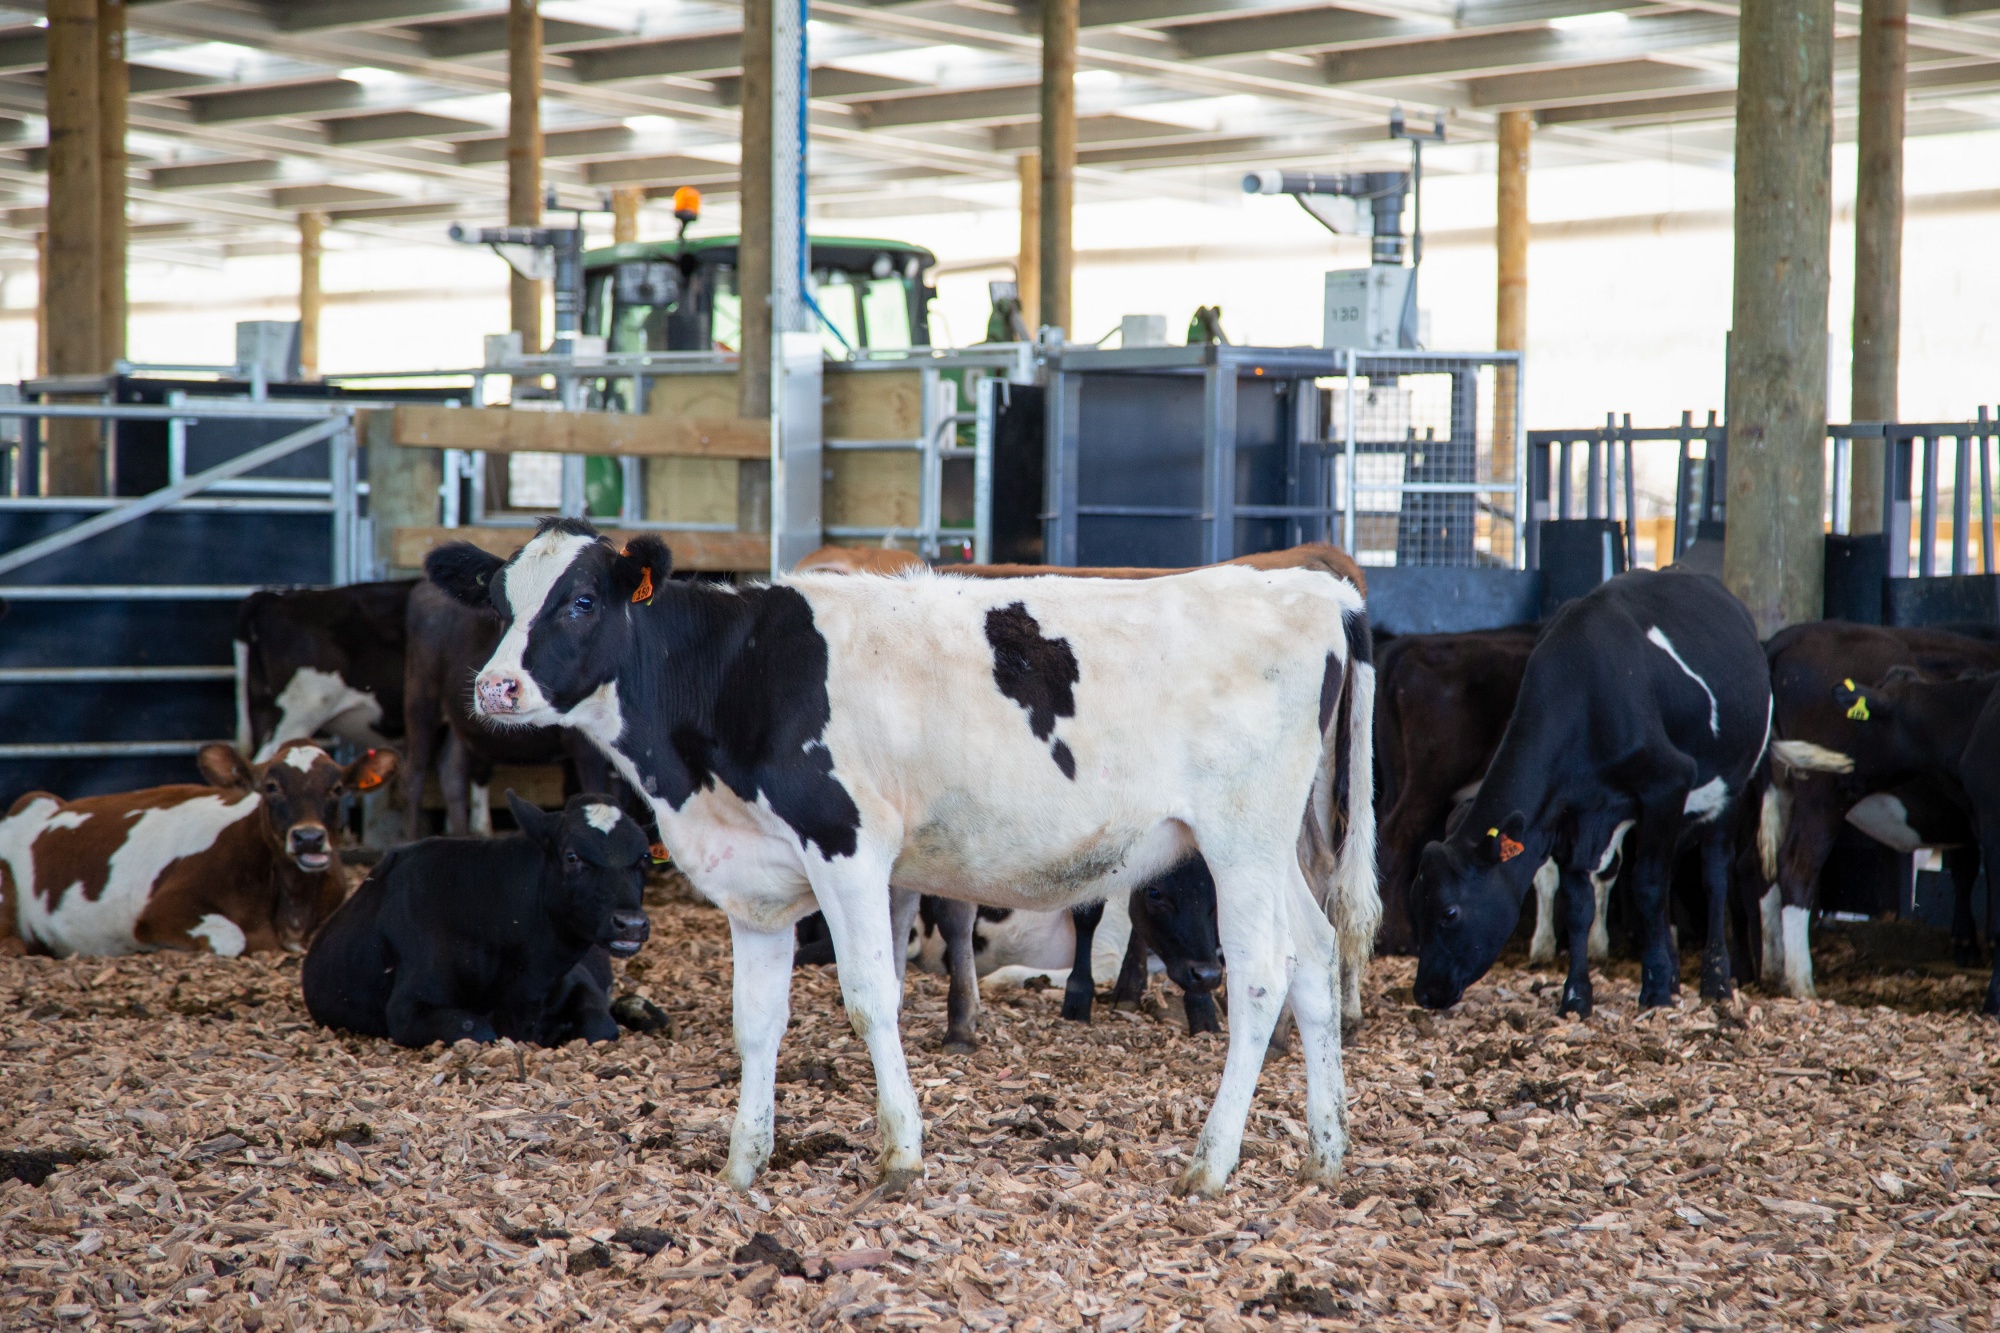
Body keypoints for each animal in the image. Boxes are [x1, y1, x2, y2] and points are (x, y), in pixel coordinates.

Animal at [302, 792, 653, 1046]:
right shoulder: (407, 1007)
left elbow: (600, 1025)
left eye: (645, 857)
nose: (631, 924)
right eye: (572, 856)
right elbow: (478, 1029)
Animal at [427, 518, 1376, 1197]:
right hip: (1274, 847)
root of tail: (1312, 588)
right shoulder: (754, 882)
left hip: (1239, 838)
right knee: (1316, 956)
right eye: (500, 602)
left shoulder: (847, 846)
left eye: (582, 601)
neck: (737, 674)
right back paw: (1325, 1152)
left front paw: (901, 1153)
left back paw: (1211, 1163)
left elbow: (868, 997)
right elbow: (755, 1021)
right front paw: (743, 1162)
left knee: (1262, 974)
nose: (496, 687)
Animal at [1412, 569, 1770, 1016]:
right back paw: (1676, 974)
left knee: (1714, 875)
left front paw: (1655, 991)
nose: (1424, 993)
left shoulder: (1668, 782)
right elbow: (1579, 903)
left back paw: (1716, 981)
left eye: (1449, 912)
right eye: (1416, 904)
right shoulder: (1570, 815)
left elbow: (1647, 887)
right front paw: (1576, 996)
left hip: (1728, 788)